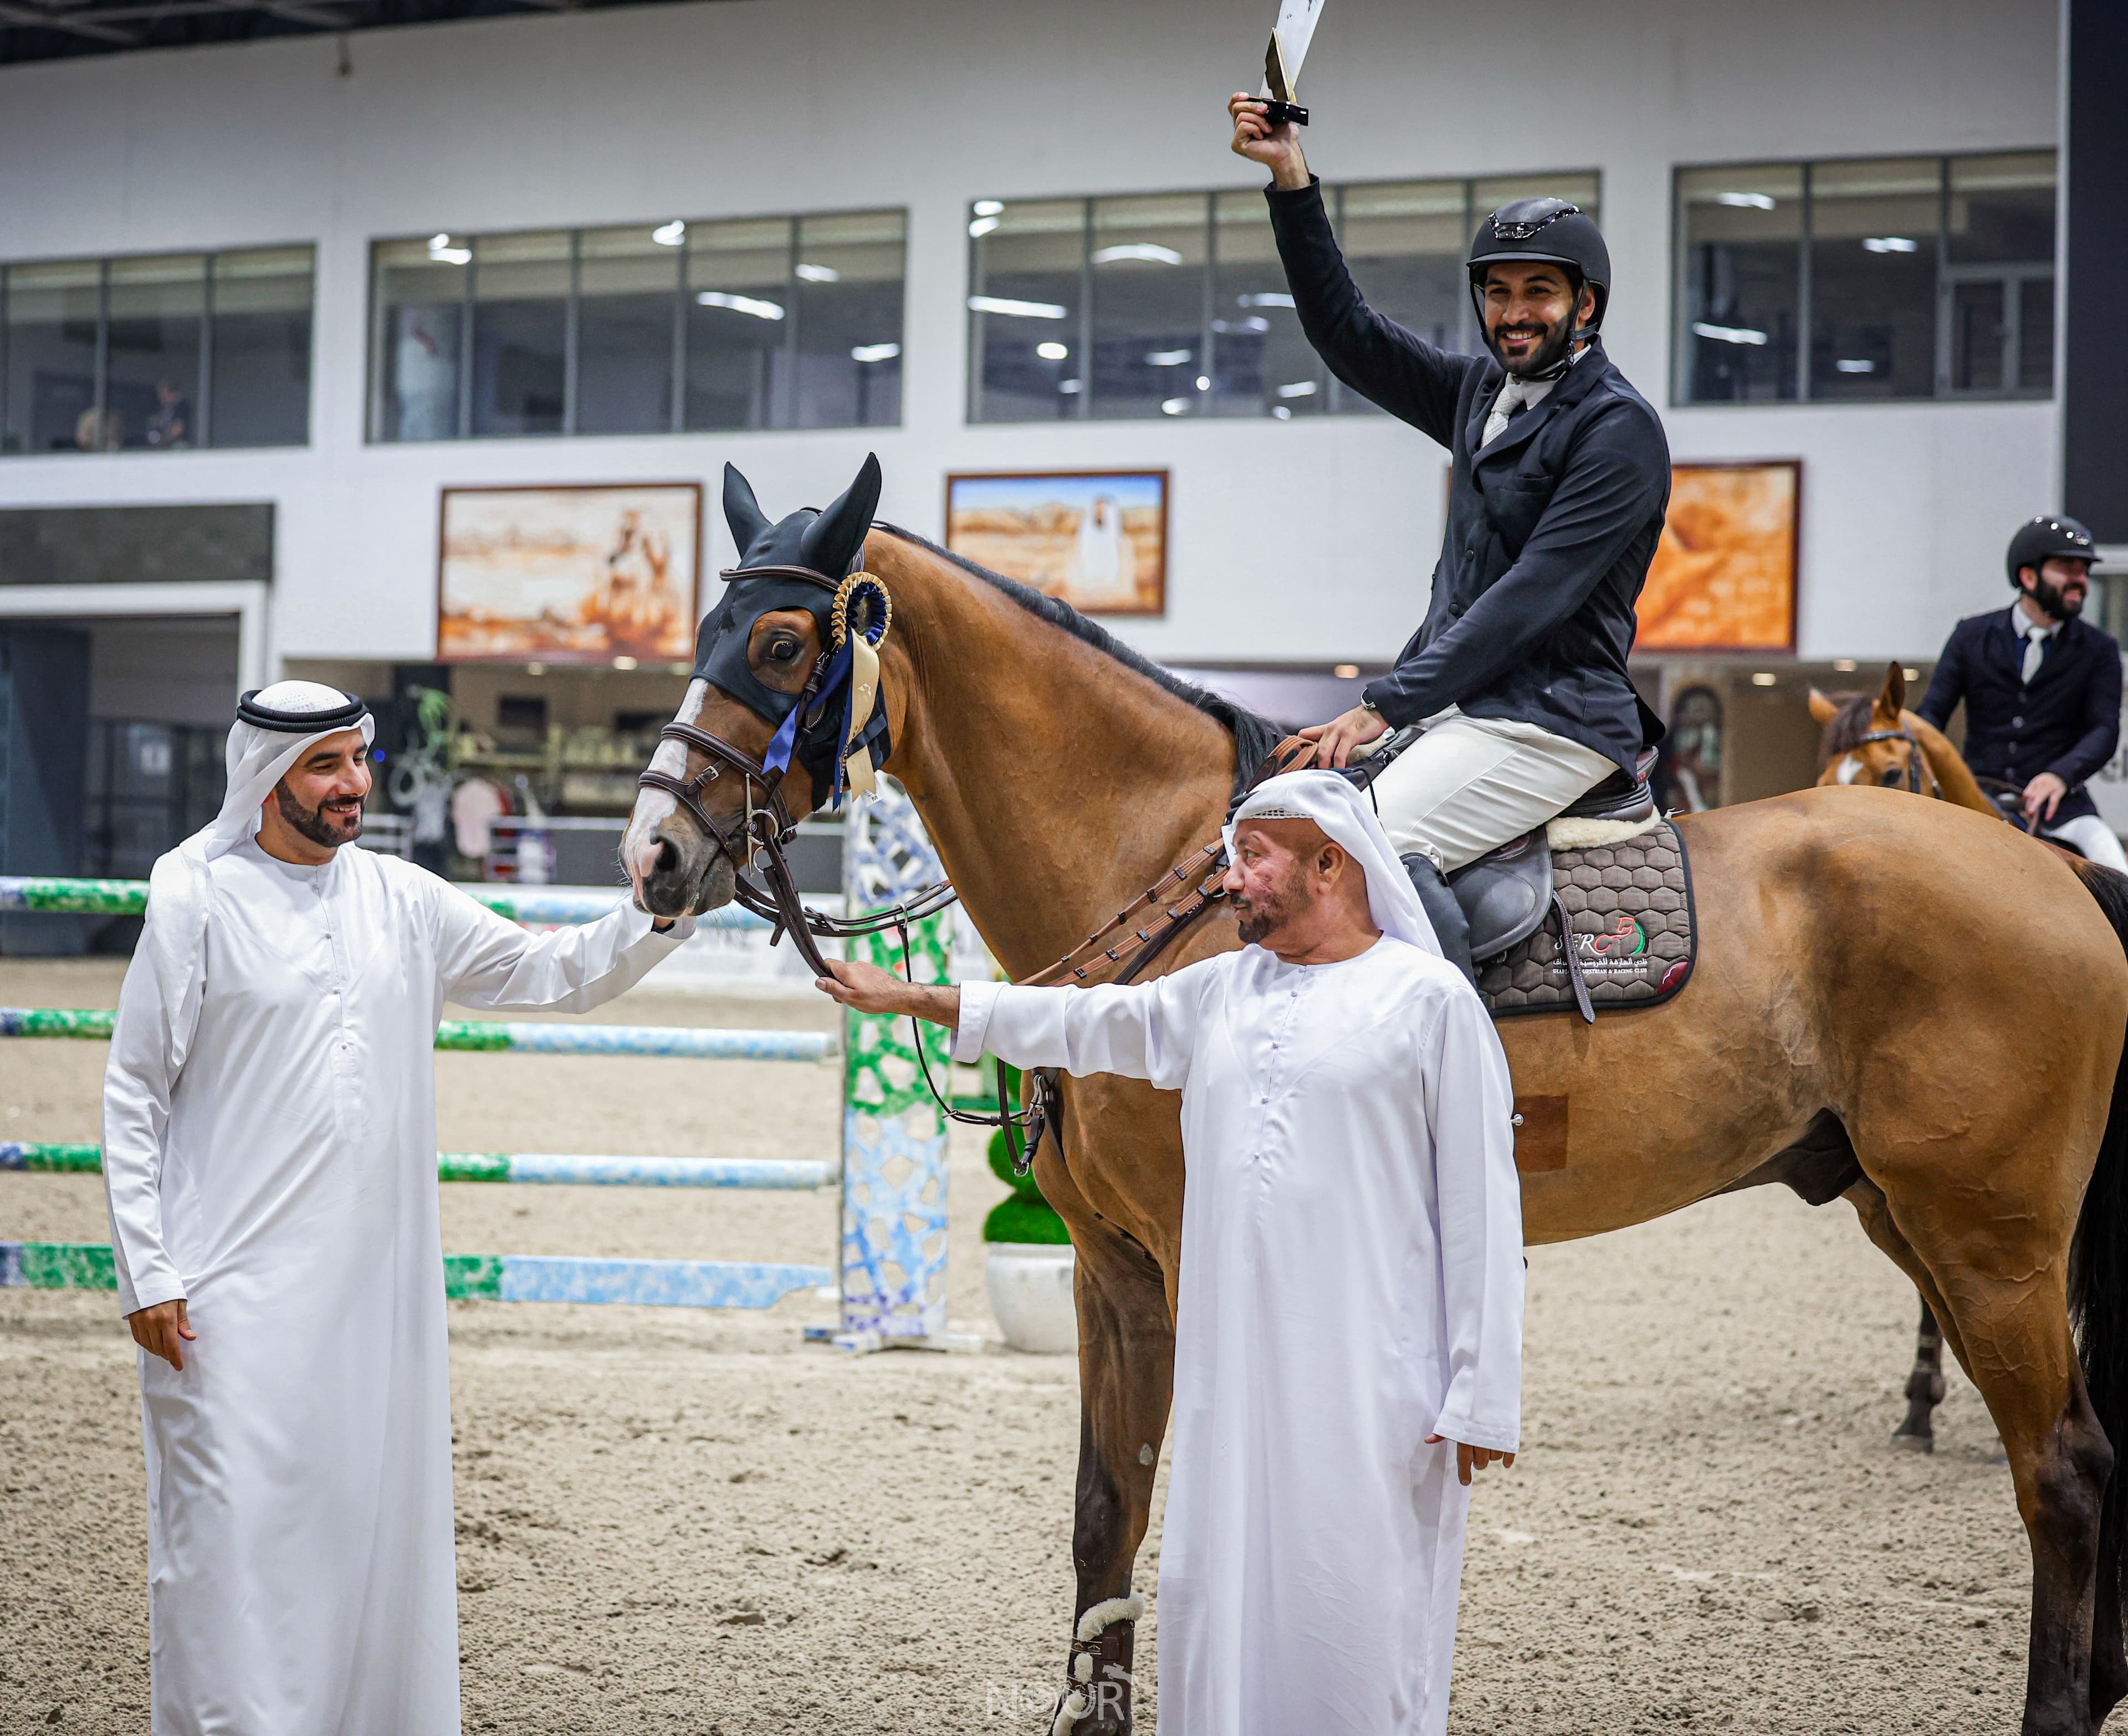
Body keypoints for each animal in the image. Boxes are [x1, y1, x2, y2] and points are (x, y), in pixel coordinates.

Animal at [625, 462, 2128, 1736]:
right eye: (704, 625)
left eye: (780, 645)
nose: (653, 854)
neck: (1165, 861)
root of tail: (2046, 872)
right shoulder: (1111, 1268)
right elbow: (1106, 1507)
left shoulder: (1198, 1251)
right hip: (1912, 1216)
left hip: (1987, 1240)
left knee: (2059, 1468)